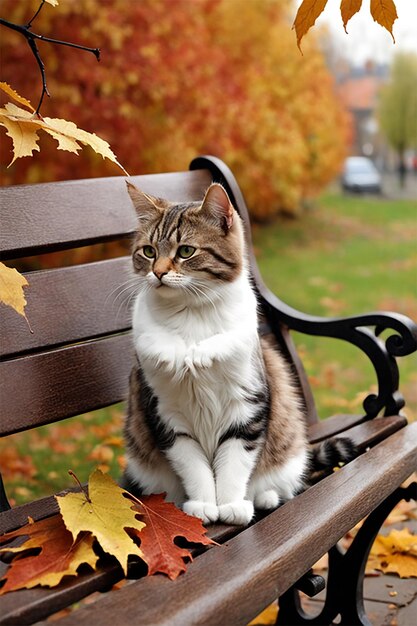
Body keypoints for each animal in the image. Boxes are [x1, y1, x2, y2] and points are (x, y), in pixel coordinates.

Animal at [121, 179, 354, 520]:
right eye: (149, 251)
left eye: (186, 251)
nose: (158, 273)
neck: (191, 316)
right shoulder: (166, 413)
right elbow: (193, 466)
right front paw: (204, 505)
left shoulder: (247, 407)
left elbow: (234, 463)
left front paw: (230, 505)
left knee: (279, 482)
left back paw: (265, 497)